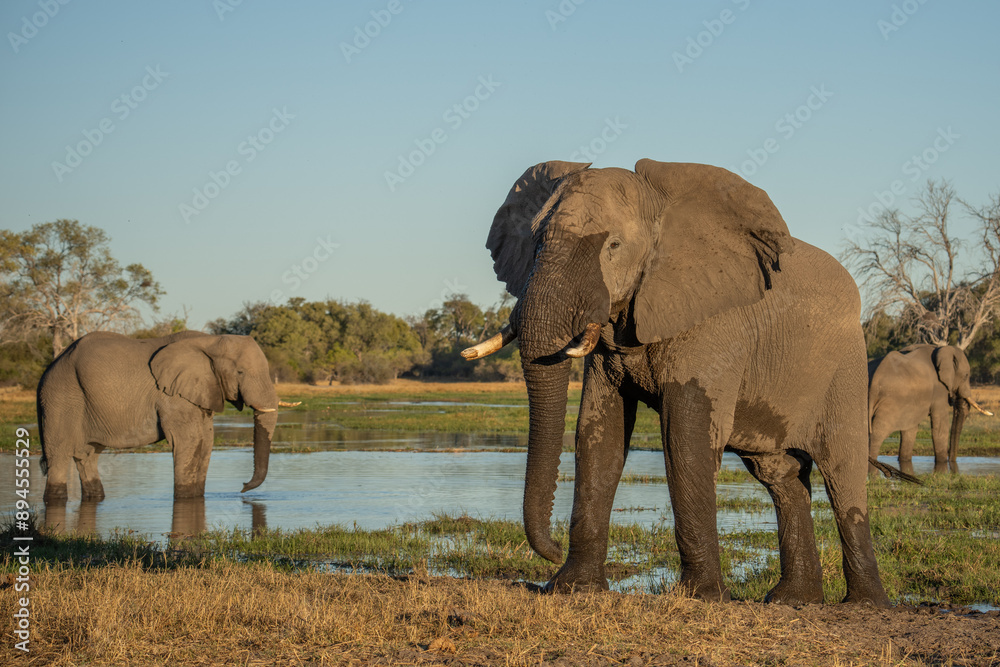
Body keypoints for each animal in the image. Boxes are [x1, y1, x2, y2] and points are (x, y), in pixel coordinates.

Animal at [38, 330, 292, 501]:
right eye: (239, 372)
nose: (242, 487)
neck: (209, 340)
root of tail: (52, 364)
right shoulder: (173, 396)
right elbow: (189, 441)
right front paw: (185, 499)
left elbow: (205, 441)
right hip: (61, 398)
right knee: (59, 455)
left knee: (87, 456)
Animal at [463, 159, 893, 605]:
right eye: (534, 243)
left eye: (613, 245)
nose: (549, 551)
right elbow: (599, 435)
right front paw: (572, 588)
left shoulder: (713, 323)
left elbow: (686, 436)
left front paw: (700, 597)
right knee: (781, 475)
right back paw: (793, 600)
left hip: (846, 366)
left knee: (842, 474)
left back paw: (865, 603)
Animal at [869, 343, 992, 474]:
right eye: (966, 376)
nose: (952, 463)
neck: (940, 349)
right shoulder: (939, 390)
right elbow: (940, 426)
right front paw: (942, 466)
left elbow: (910, 429)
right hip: (890, 402)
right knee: (878, 433)